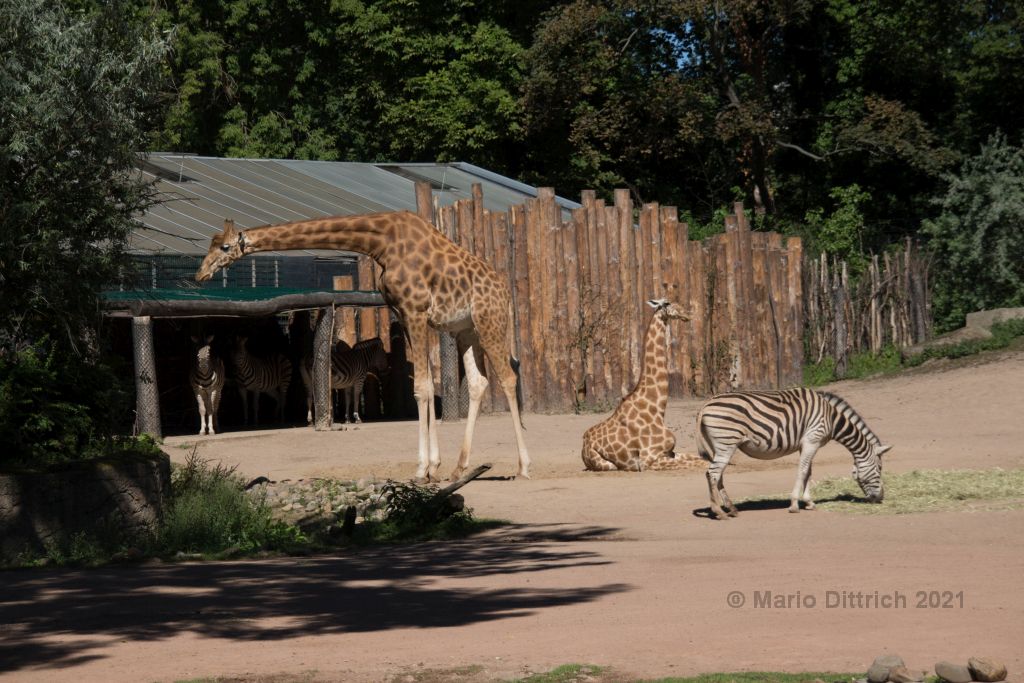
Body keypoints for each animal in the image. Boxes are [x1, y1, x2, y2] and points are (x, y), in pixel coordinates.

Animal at [193, 214, 528, 481]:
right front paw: (434, 466)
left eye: (224, 248)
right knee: (478, 382)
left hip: (489, 323)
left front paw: (421, 468)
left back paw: (523, 466)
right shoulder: (404, 314)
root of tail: (507, 294)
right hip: (466, 330)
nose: (200, 275)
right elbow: (426, 387)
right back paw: (460, 467)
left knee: (508, 377)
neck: (381, 243)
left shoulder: (416, 311)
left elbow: (420, 387)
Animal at [581, 301, 700, 475]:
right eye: (668, 303)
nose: (688, 314)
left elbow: (702, 459)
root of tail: (583, 445)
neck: (657, 409)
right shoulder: (648, 460)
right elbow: (701, 463)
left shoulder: (669, 453)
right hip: (608, 465)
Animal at [696, 387, 888, 520]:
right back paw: (719, 512)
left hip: (719, 446)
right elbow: (802, 471)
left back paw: (731, 509)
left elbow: (808, 472)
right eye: (879, 468)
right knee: (712, 474)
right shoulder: (812, 440)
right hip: (726, 442)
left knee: (718, 476)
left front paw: (809, 502)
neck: (831, 417)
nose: (880, 498)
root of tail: (706, 404)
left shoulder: (809, 444)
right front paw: (795, 504)